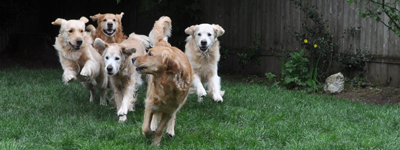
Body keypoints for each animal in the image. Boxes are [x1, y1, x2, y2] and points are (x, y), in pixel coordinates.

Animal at [132, 16, 193, 146]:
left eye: (150, 54)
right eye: (148, 51)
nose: (133, 58)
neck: (166, 83)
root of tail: (167, 45)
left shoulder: (170, 109)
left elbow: (161, 128)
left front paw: (155, 143)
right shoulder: (150, 102)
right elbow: (145, 126)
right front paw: (149, 133)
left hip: (179, 104)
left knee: (172, 117)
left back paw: (170, 131)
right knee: (155, 115)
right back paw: (153, 125)